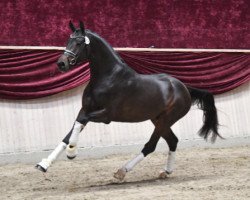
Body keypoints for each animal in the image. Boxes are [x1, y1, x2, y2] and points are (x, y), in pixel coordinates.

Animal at [35, 21, 221, 180]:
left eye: (80, 42)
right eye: (68, 40)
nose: (61, 64)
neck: (108, 77)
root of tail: (183, 87)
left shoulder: (106, 115)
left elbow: (79, 122)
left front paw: (71, 152)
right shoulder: (86, 109)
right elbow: (71, 130)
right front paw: (44, 164)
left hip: (165, 120)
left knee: (151, 146)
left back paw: (122, 171)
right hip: (158, 120)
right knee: (173, 141)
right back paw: (165, 171)